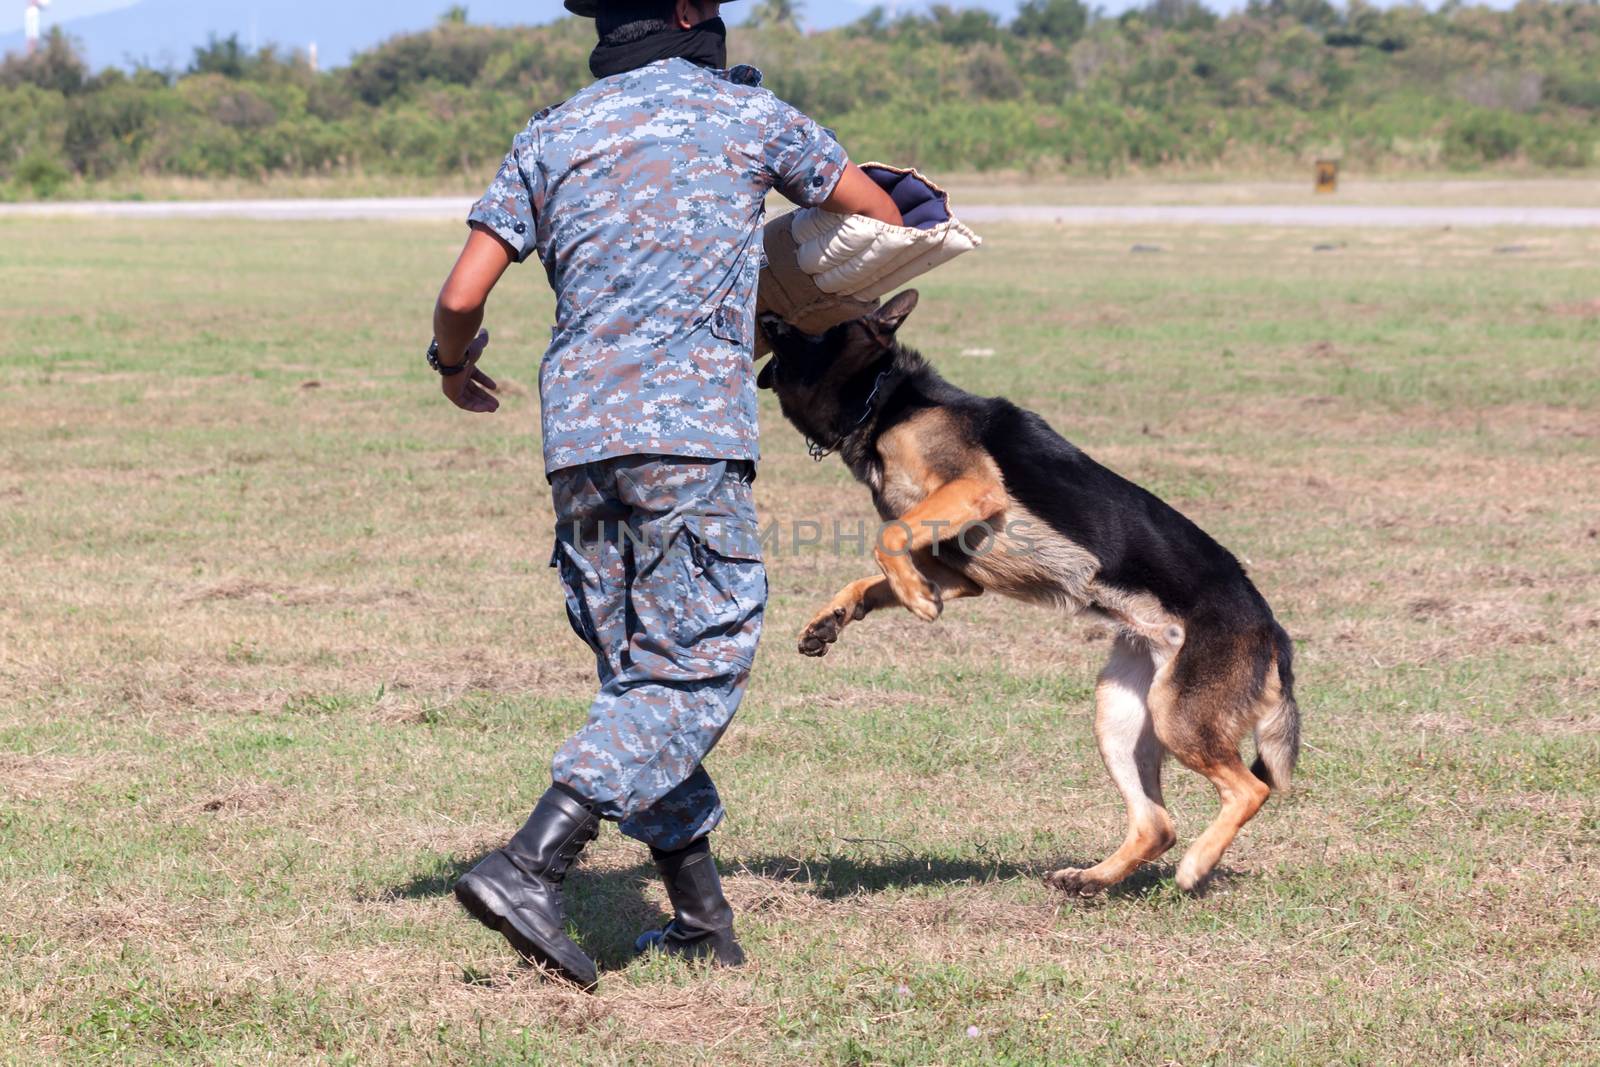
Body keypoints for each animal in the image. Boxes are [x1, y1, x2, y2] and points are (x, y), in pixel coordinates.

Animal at [758, 289, 1299, 895]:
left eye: (815, 328)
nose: (766, 317)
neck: (888, 400)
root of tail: (1272, 630)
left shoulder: (974, 490)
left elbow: (888, 538)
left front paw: (916, 600)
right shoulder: (958, 572)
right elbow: (874, 573)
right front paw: (834, 617)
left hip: (1177, 716)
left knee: (1250, 788)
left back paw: (1196, 865)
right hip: (1119, 714)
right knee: (1157, 824)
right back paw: (1091, 878)